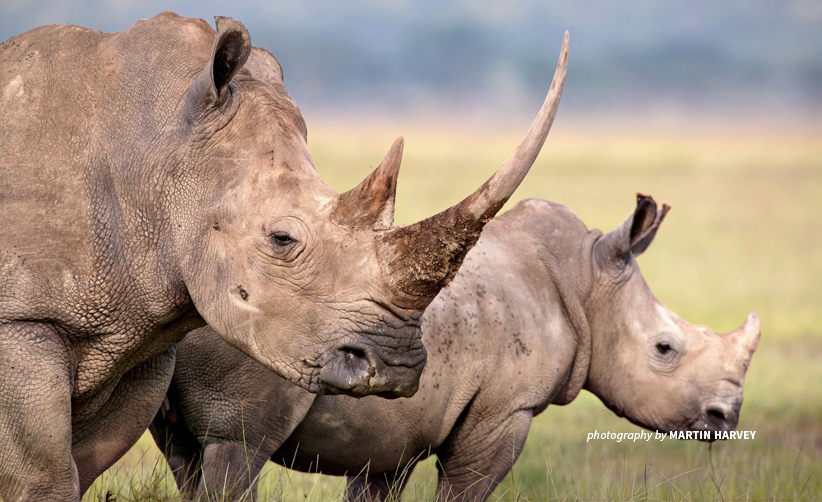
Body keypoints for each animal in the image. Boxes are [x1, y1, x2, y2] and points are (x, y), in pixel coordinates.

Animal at [0, 12, 569, 500]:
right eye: (282, 240)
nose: (396, 367)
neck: (157, 153)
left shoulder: (138, 333)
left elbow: (83, 465)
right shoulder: (22, 319)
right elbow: (46, 474)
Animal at [152, 195, 761, 501]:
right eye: (665, 348)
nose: (725, 418)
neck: (587, 284)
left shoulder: (393, 430)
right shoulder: (505, 409)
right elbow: (467, 489)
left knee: (185, 454)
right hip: (251, 326)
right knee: (238, 448)